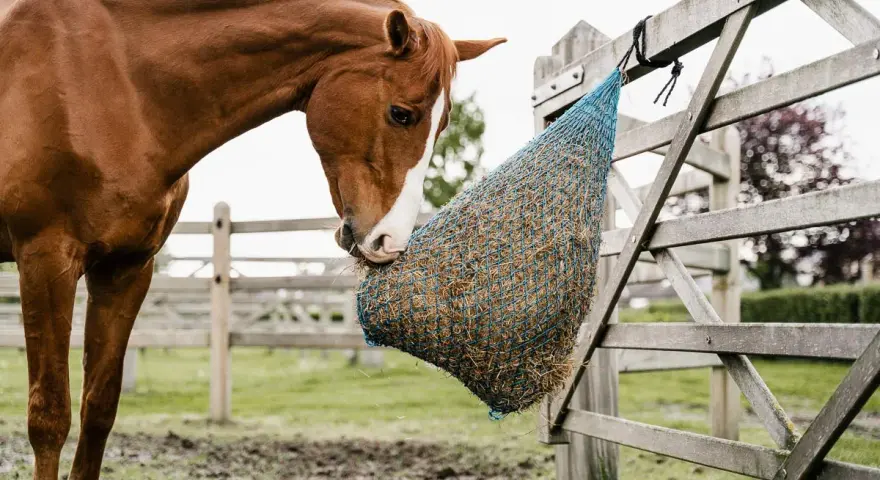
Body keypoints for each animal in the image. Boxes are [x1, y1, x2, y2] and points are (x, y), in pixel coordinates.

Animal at [0, 0, 505, 477]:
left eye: (442, 125)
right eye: (401, 114)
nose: (390, 242)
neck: (116, 82)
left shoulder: (126, 270)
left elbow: (99, 409)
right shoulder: (46, 260)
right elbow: (49, 418)